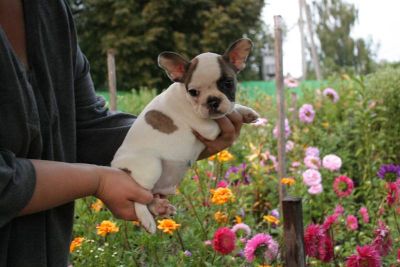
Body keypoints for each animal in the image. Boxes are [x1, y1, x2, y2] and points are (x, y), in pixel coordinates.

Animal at [111, 38, 260, 234]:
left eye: (228, 83)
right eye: (193, 92)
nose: (212, 101)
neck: (186, 97)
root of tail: (117, 166)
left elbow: (231, 107)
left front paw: (247, 112)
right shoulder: (208, 127)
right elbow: (227, 113)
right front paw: (239, 112)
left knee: (150, 198)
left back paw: (160, 207)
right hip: (150, 166)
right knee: (139, 198)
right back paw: (147, 220)